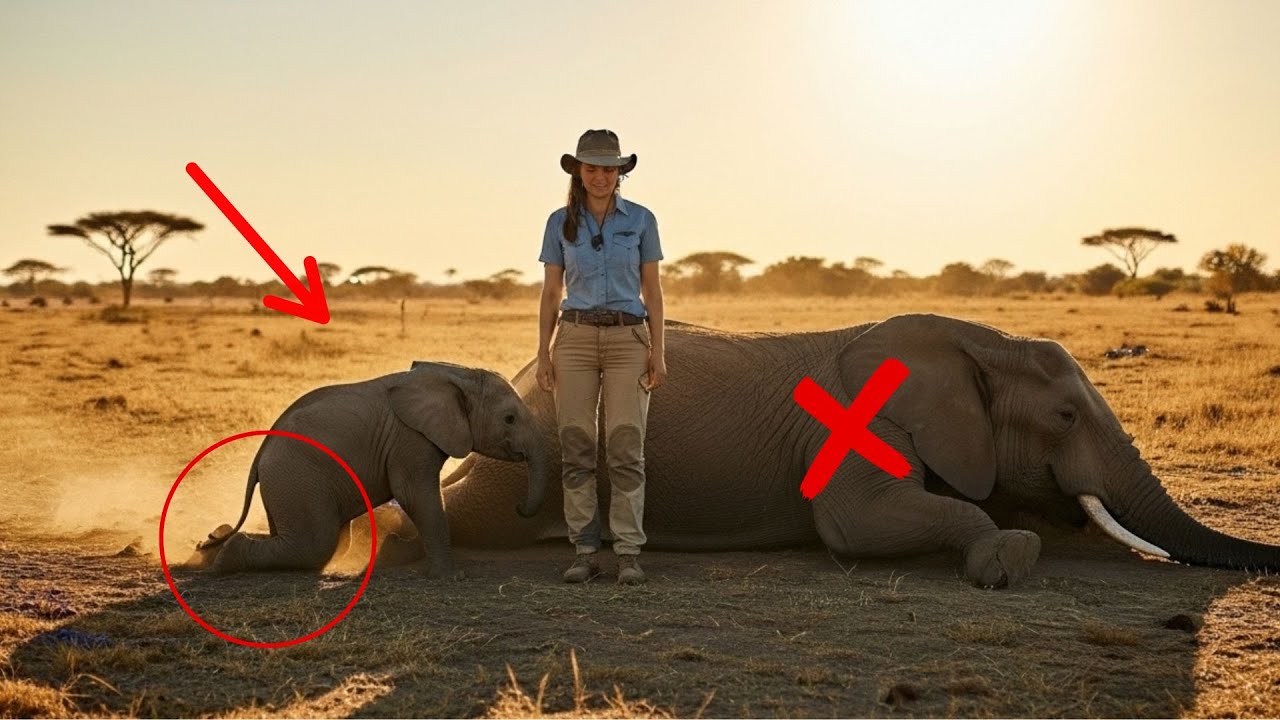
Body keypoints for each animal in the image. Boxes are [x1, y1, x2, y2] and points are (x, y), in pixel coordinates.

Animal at [193, 360, 549, 578]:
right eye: (509, 419)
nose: (520, 507)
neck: (455, 373)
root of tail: (260, 455)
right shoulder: (409, 439)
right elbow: (416, 495)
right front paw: (452, 576)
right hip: (295, 476)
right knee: (316, 544)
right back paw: (223, 557)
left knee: (324, 542)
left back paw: (214, 544)